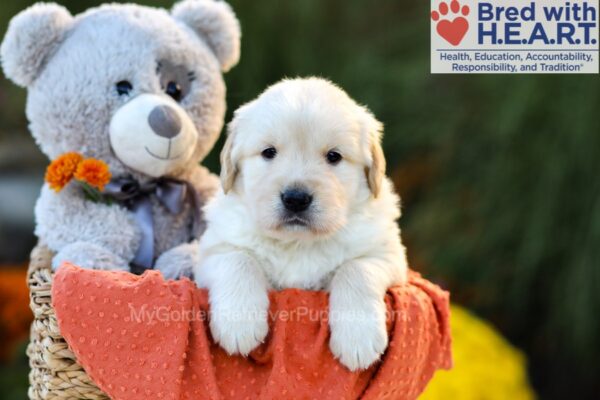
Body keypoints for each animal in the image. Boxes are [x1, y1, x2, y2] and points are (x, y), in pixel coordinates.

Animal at [196, 78, 408, 372]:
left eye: (334, 156)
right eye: (269, 152)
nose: (295, 199)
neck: (297, 243)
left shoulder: (388, 254)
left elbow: (356, 269)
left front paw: (358, 337)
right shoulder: (212, 250)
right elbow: (239, 259)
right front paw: (239, 322)